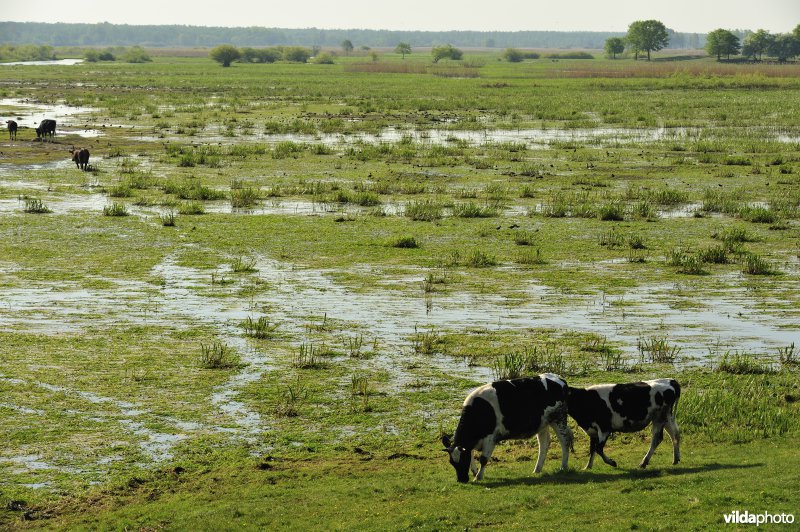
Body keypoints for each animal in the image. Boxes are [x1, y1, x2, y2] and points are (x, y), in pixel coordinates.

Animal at [440, 374, 572, 482]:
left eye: (463, 460)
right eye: (451, 462)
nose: (461, 480)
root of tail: (560, 379)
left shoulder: (490, 437)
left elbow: (483, 459)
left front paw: (478, 477)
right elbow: (471, 453)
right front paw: (474, 471)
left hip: (558, 418)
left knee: (565, 441)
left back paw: (563, 467)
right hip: (542, 423)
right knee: (544, 444)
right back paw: (537, 470)